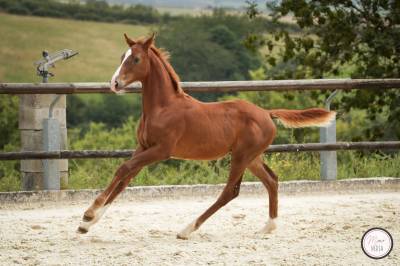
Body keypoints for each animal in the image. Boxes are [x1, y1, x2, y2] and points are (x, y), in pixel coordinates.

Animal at [77, 33, 334, 239]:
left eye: (136, 59)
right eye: (123, 56)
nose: (114, 83)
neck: (163, 107)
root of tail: (267, 113)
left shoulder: (161, 151)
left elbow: (123, 169)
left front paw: (89, 213)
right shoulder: (143, 147)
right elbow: (124, 179)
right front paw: (86, 225)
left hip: (241, 156)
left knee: (230, 191)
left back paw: (186, 230)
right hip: (252, 158)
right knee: (272, 180)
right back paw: (268, 227)